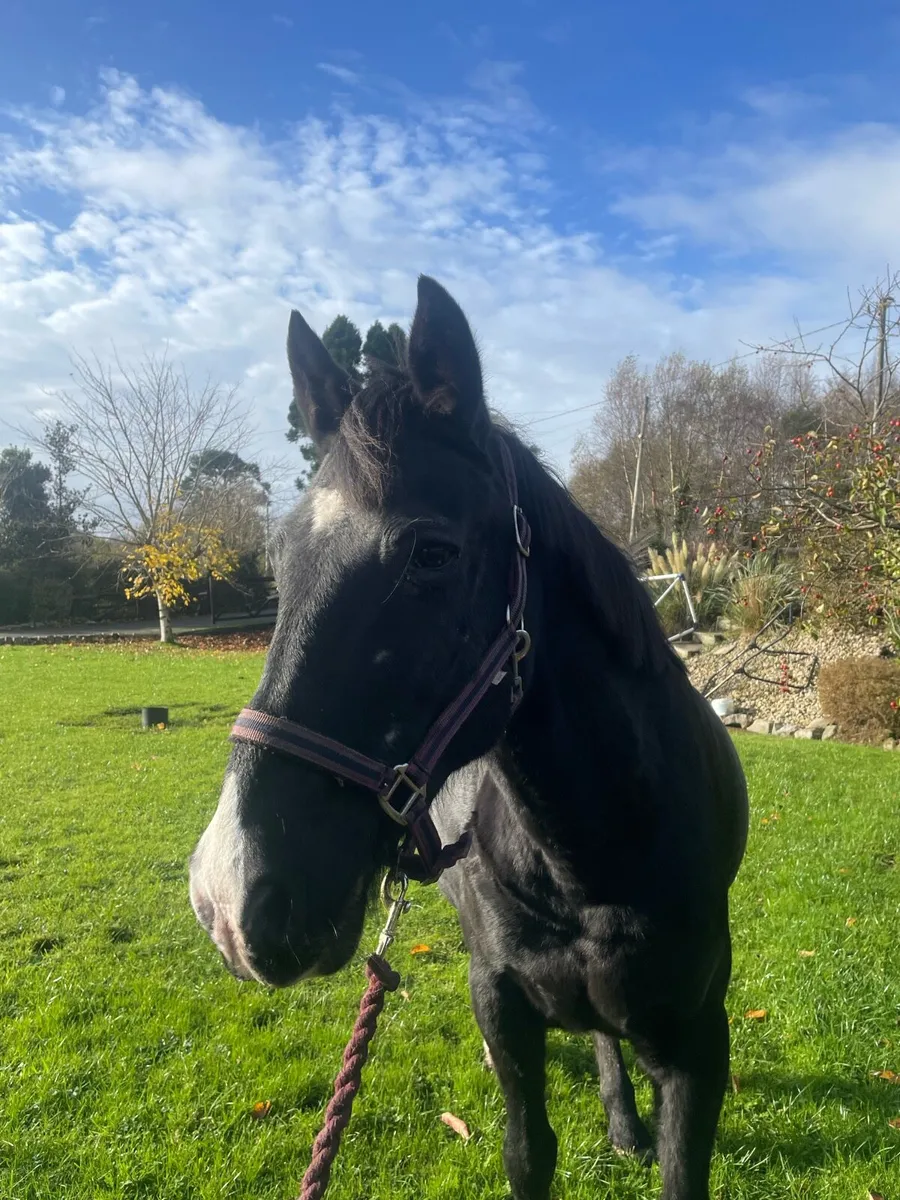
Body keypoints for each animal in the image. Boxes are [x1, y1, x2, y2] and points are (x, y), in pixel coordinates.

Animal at [189, 275, 749, 1200]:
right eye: (280, 555)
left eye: (433, 553)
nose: (231, 897)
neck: (595, 857)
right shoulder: (504, 1003)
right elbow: (528, 1150)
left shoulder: (699, 1042)